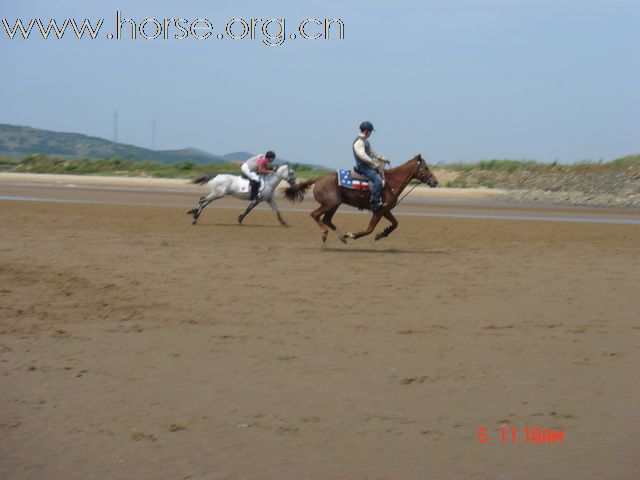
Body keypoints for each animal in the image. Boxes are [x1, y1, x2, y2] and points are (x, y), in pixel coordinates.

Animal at [282, 155, 438, 244]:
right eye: (425, 167)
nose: (435, 182)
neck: (390, 182)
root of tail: (318, 179)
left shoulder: (385, 210)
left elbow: (395, 224)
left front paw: (382, 234)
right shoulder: (378, 211)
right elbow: (369, 229)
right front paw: (353, 235)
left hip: (334, 205)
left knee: (326, 219)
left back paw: (342, 237)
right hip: (330, 204)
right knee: (315, 215)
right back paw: (326, 234)